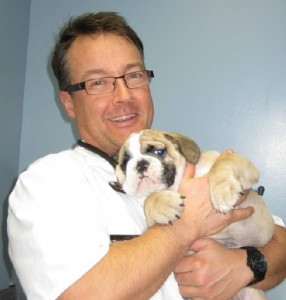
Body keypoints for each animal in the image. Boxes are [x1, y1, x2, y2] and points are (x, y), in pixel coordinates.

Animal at [112, 129, 274, 300]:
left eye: (159, 151)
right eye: (125, 162)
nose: (141, 164)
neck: (176, 185)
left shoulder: (240, 163)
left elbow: (223, 163)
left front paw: (223, 190)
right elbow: (150, 199)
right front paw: (165, 204)